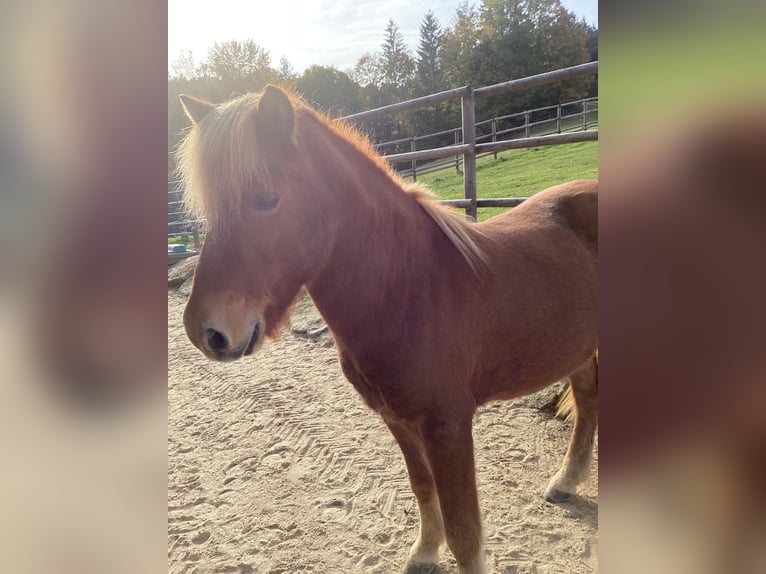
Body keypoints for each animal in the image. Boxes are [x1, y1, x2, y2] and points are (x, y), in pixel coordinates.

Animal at [176, 85, 598, 574]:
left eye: (265, 199)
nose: (204, 332)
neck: (409, 289)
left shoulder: (448, 426)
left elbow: (465, 533)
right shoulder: (398, 420)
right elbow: (422, 489)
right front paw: (424, 552)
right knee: (588, 399)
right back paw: (566, 481)